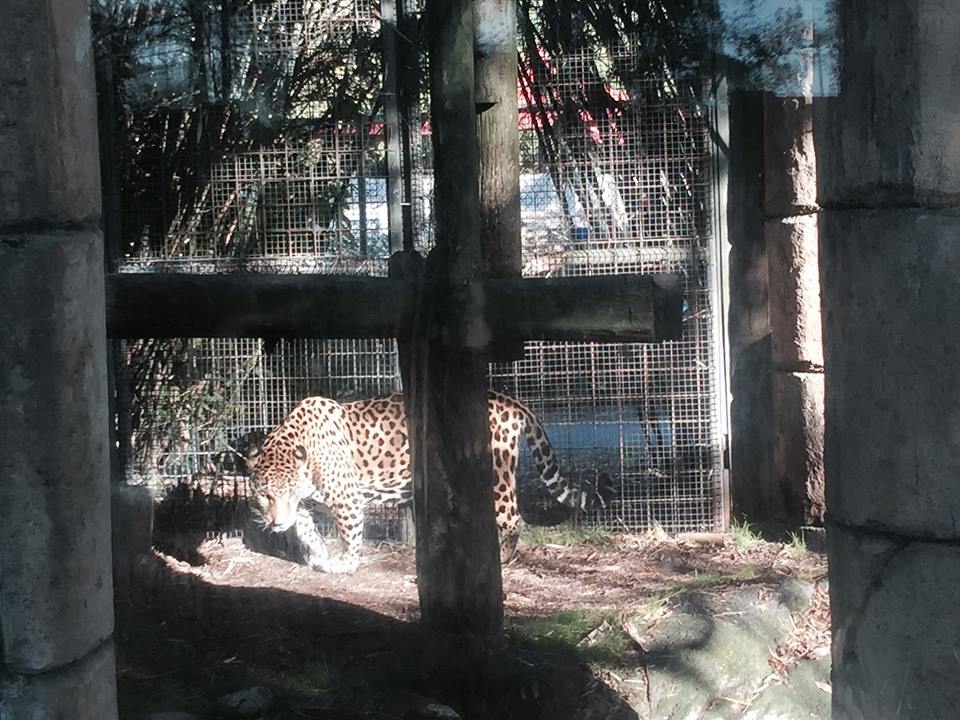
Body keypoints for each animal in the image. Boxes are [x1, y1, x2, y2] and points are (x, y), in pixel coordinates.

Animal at [245, 389, 611, 573]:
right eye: (265, 495)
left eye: (286, 493)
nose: (274, 522)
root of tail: (509, 399)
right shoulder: (306, 503)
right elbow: (306, 528)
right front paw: (317, 553)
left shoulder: (347, 500)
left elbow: (349, 536)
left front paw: (343, 565)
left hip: (496, 476)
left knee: (514, 519)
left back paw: (503, 558)